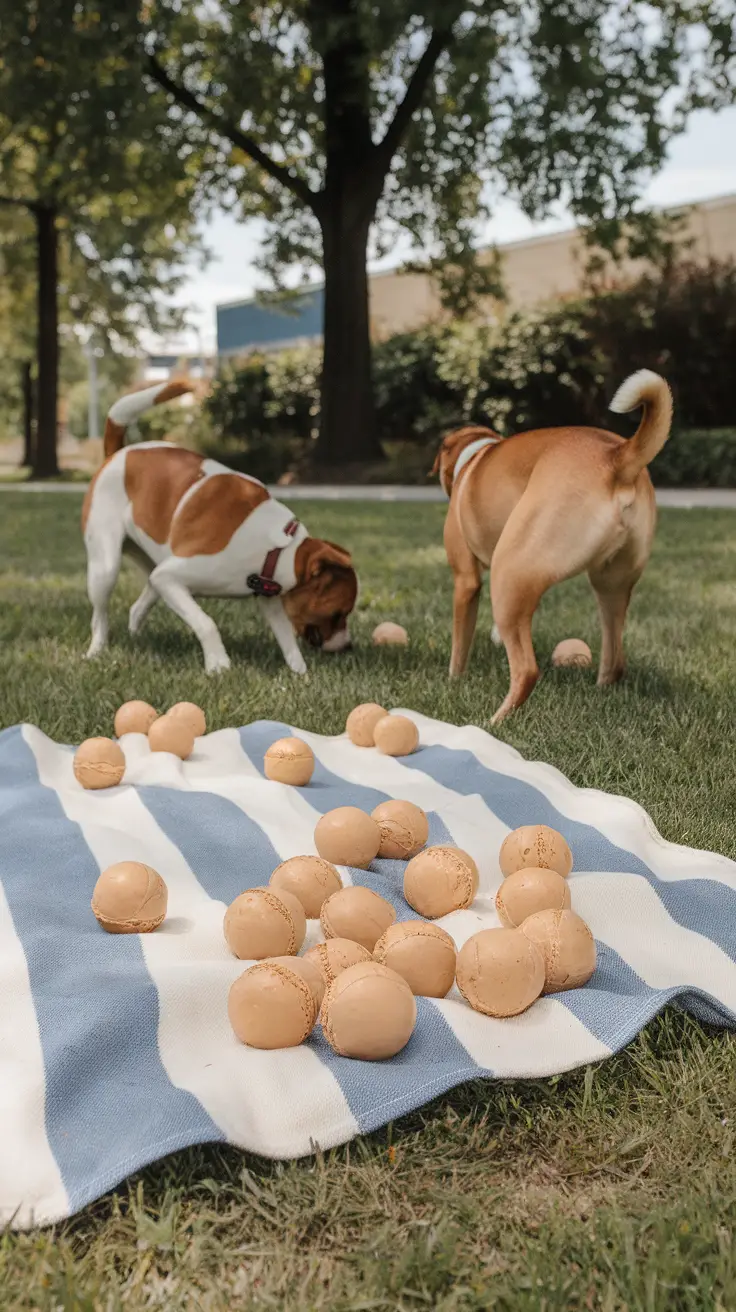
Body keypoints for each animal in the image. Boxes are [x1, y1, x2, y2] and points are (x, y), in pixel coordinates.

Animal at [80, 375, 356, 671]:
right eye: (338, 614)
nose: (348, 647)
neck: (278, 549)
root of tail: (118, 453)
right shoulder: (171, 577)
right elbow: (207, 623)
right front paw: (218, 664)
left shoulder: (270, 601)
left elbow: (288, 641)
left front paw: (300, 673)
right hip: (106, 568)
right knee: (100, 616)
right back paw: (97, 650)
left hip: (154, 559)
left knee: (140, 601)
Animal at [432, 369, 676, 729]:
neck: (474, 455)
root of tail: (617, 457)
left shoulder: (466, 580)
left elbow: (460, 643)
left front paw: (453, 681)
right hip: (610, 585)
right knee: (615, 657)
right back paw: (600, 691)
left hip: (510, 569)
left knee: (527, 671)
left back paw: (494, 721)